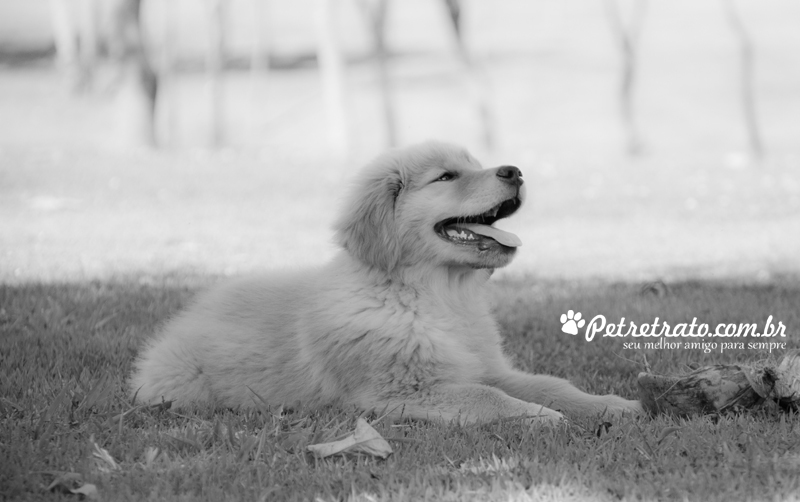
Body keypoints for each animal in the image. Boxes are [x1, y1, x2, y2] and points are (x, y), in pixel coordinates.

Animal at [131, 141, 644, 424]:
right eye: (447, 176)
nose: (514, 171)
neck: (437, 298)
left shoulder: (487, 366)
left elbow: (549, 384)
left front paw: (608, 405)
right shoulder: (400, 392)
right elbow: (487, 397)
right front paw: (539, 417)